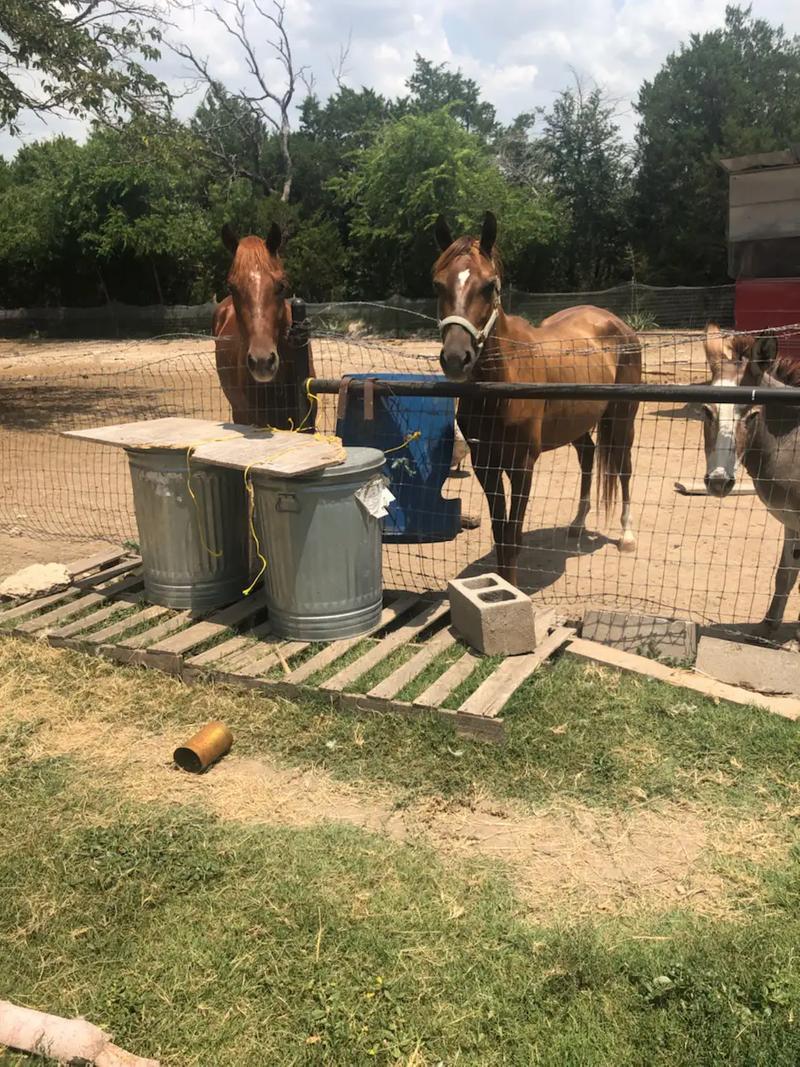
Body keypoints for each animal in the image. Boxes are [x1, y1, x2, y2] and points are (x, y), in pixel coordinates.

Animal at [433, 211, 642, 587]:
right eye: (438, 285)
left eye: (490, 285)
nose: (456, 359)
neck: (501, 387)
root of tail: (617, 324)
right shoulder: (485, 464)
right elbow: (500, 534)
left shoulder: (522, 466)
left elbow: (513, 537)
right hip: (579, 424)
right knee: (588, 457)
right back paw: (577, 524)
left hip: (622, 418)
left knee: (624, 468)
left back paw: (627, 535)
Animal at [702, 324, 800, 637]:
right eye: (706, 411)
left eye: (752, 414)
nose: (719, 482)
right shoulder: (791, 520)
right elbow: (786, 573)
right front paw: (768, 626)